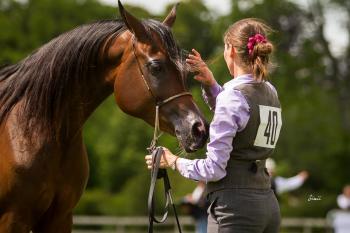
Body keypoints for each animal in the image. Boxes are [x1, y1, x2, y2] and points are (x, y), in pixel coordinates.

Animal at [0, 1, 208, 231]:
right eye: (156, 66)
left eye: (185, 70)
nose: (199, 129)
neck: (33, 129)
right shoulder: (12, 218)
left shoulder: (60, 217)